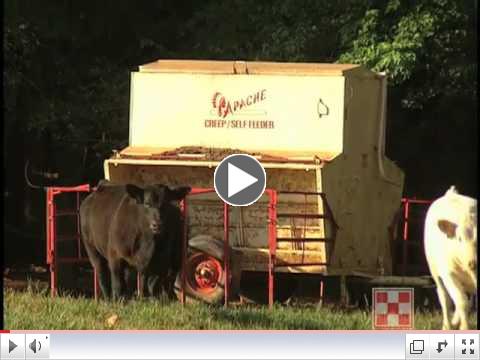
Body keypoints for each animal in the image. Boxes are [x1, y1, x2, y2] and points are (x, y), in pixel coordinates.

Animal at [424, 186, 476, 330]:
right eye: (459, 238)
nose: (472, 263)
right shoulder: (449, 274)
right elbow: (461, 301)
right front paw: (464, 328)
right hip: (435, 271)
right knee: (445, 297)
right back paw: (448, 325)